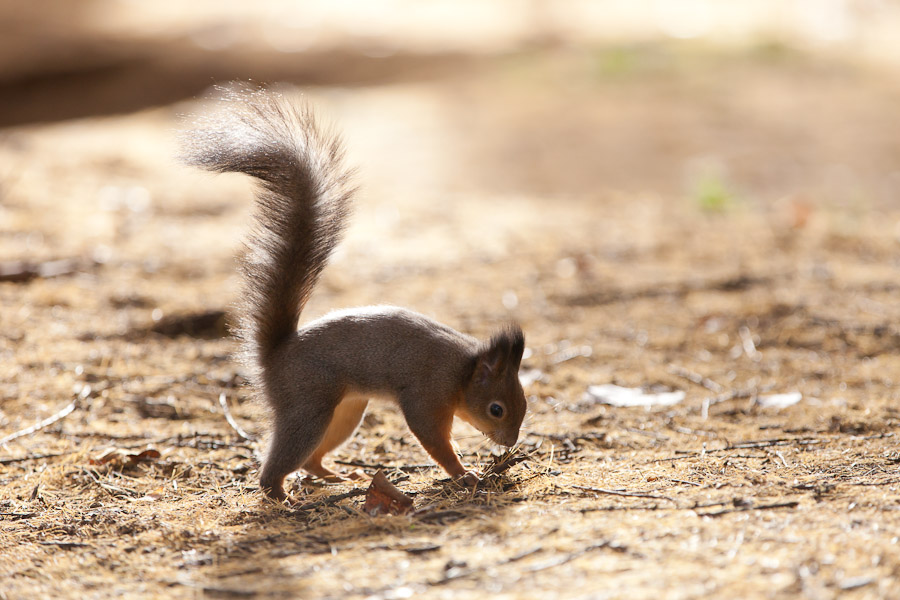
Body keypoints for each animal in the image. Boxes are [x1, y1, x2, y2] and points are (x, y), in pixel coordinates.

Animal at [182, 86, 528, 504]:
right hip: (308, 406)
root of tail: (273, 355)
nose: (509, 442)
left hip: (346, 409)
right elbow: (432, 438)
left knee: (313, 458)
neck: (463, 370)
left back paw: (334, 476)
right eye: (496, 409)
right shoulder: (426, 393)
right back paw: (281, 494)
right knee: (281, 462)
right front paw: (465, 474)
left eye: (524, 401)